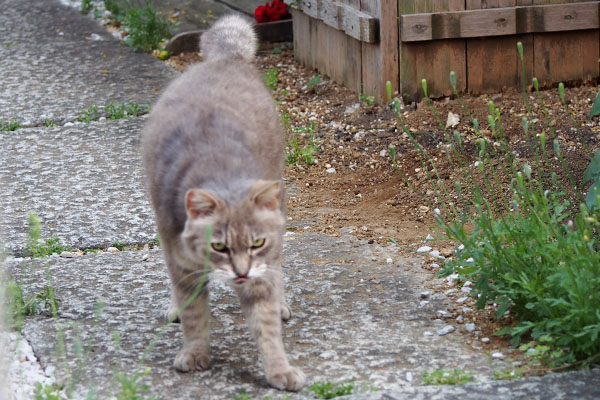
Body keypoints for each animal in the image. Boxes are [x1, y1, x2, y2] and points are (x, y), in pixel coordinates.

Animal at [142, 14, 304, 390]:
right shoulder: (182, 265)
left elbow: (266, 326)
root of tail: (226, 59)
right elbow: (194, 316)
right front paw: (195, 353)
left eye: (256, 242)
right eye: (219, 246)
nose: (241, 272)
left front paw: (279, 370)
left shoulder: (261, 270)